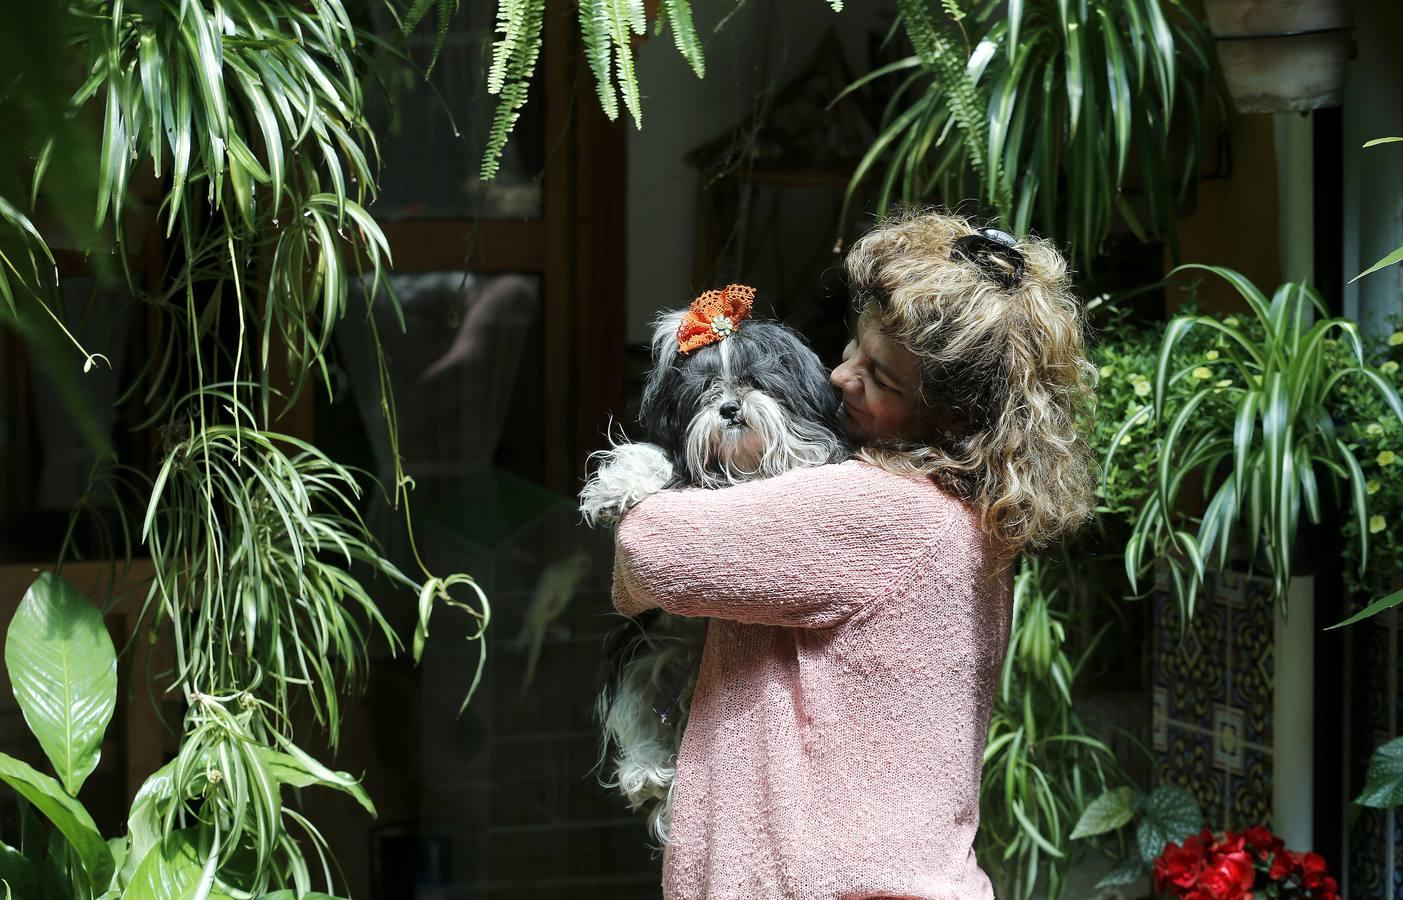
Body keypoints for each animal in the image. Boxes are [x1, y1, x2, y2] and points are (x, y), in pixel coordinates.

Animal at [578, 287, 841, 842]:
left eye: (758, 379)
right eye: (703, 390)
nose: (729, 407)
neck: (741, 469)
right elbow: (654, 457)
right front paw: (616, 489)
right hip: (647, 651)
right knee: (637, 715)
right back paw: (647, 772)